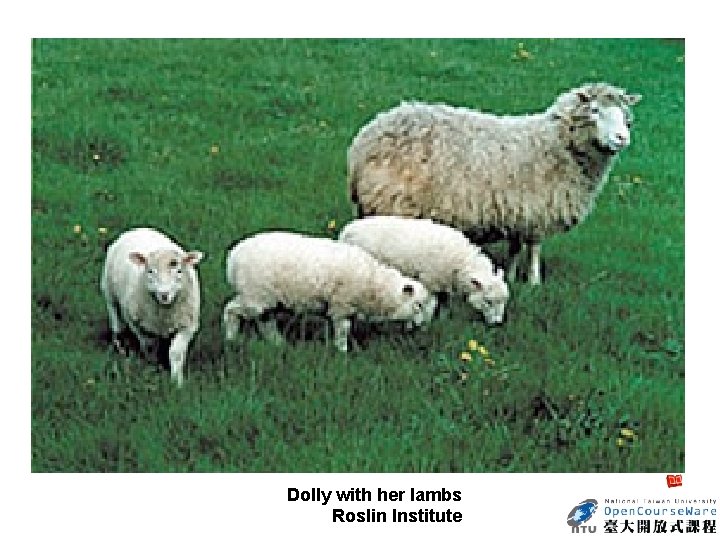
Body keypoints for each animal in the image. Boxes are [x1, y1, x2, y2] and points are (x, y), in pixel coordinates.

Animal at [100, 227, 204, 387]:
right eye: (150, 271)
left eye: (179, 270)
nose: (164, 294)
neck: (164, 314)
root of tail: (138, 229)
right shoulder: (138, 325)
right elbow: (149, 347)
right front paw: (153, 368)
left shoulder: (187, 325)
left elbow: (176, 352)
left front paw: (177, 381)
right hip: (109, 292)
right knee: (116, 320)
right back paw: (120, 345)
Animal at [222, 231, 432, 352]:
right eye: (418, 305)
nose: (421, 327)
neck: (374, 286)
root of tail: (233, 258)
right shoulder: (341, 305)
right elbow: (343, 329)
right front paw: (342, 350)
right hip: (257, 295)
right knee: (232, 310)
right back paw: (231, 338)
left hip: (264, 298)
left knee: (265, 322)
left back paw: (277, 343)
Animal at [338, 215, 508, 324]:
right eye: (488, 301)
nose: (497, 323)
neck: (460, 260)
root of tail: (346, 230)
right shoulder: (430, 281)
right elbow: (431, 305)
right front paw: (426, 322)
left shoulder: (443, 285)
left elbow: (444, 304)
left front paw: (443, 320)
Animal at [348, 82, 642, 285]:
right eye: (595, 110)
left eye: (625, 115)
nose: (622, 138)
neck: (558, 143)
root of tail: (365, 140)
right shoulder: (538, 209)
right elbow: (534, 248)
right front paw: (535, 282)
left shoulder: (517, 212)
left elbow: (515, 247)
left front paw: (511, 277)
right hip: (394, 203)